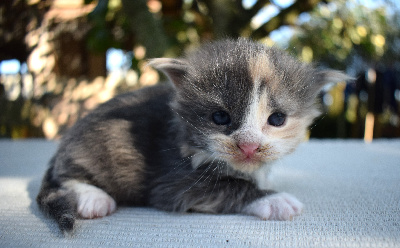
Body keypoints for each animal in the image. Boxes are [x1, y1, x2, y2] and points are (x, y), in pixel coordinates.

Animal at [37, 39, 350, 234]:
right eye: (220, 117)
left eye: (277, 119)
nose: (249, 146)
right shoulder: (171, 184)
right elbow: (231, 187)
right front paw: (274, 200)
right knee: (67, 177)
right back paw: (94, 198)